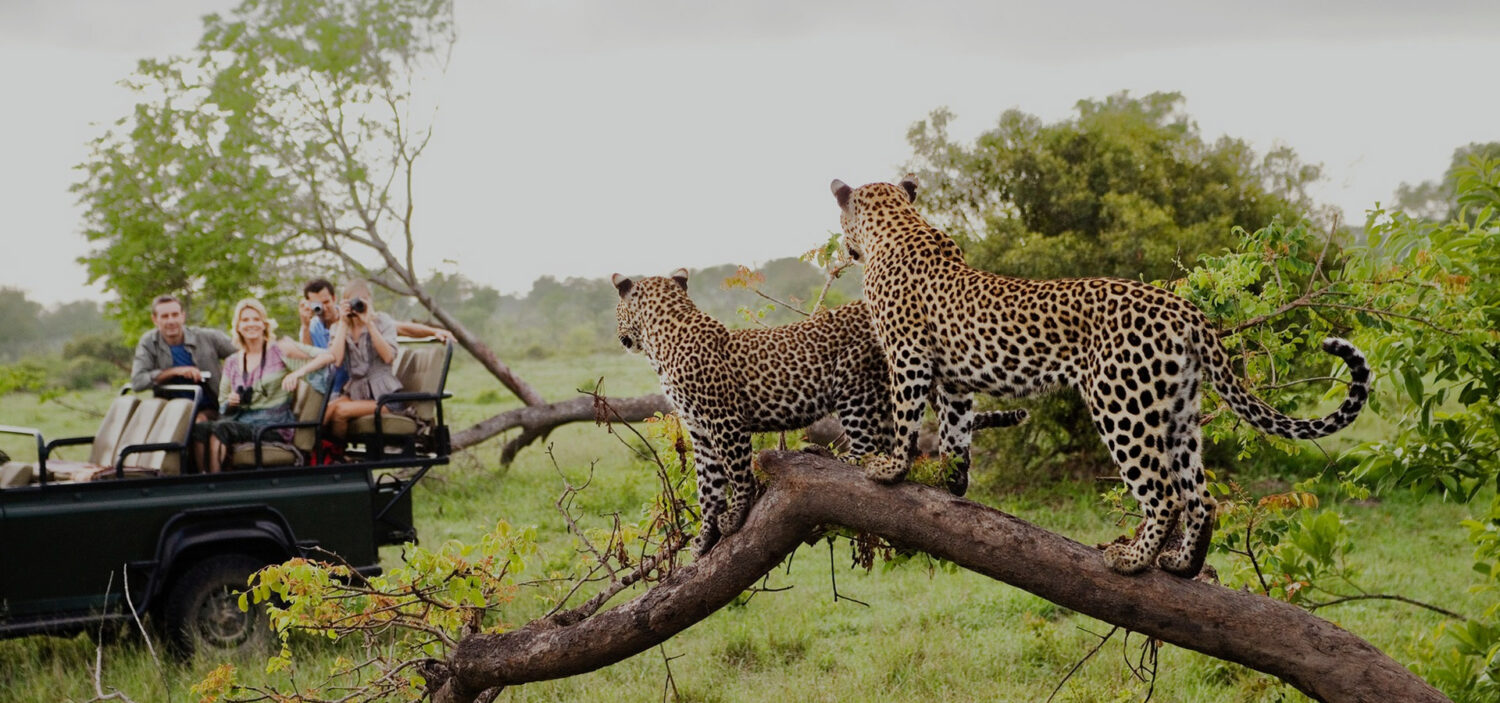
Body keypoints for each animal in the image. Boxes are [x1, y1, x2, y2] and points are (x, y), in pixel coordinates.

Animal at [612, 266, 1032, 554]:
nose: (620, 337)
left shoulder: (724, 421)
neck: (663, 339)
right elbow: (708, 486)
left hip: (854, 384)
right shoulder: (699, 431)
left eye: (616, 311)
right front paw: (703, 538)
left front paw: (735, 515)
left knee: (869, 448)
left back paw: (832, 457)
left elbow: (737, 473)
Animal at [834, 175, 1374, 575]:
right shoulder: (954, 377)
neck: (898, 224)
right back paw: (1181, 564)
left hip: (1122, 404)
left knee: (1164, 494)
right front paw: (952, 481)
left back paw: (1132, 560)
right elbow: (956, 428)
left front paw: (891, 468)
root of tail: (1186, 310)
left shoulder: (908, 355)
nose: (845, 248)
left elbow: (907, 416)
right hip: (1178, 411)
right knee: (1201, 497)